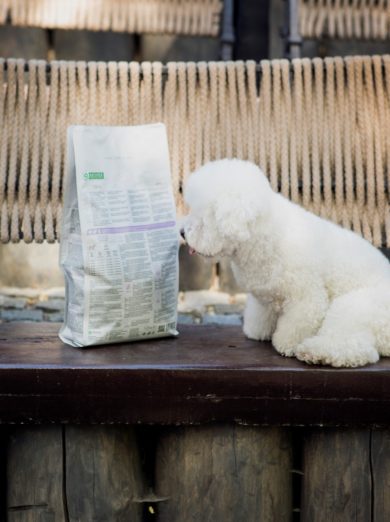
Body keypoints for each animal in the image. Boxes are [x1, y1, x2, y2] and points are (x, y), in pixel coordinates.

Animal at [182, 158, 390, 366]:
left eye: (203, 219)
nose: (182, 232)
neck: (265, 235)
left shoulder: (306, 298)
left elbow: (297, 325)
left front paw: (286, 344)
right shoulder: (263, 296)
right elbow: (261, 315)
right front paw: (257, 332)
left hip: (352, 307)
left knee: (354, 347)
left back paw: (313, 352)